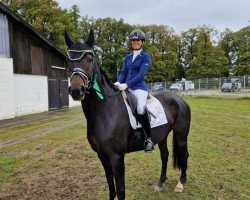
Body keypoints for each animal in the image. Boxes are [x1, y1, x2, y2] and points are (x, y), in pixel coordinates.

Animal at [65, 29, 190, 200]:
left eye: (89, 59)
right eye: (68, 59)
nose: (77, 90)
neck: (106, 111)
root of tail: (180, 100)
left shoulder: (117, 157)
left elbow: (120, 189)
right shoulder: (102, 156)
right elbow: (111, 186)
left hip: (181, 135)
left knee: (184, 155)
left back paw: (180, 184)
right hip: (162, 136)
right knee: (165, 155)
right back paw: (160, 183)